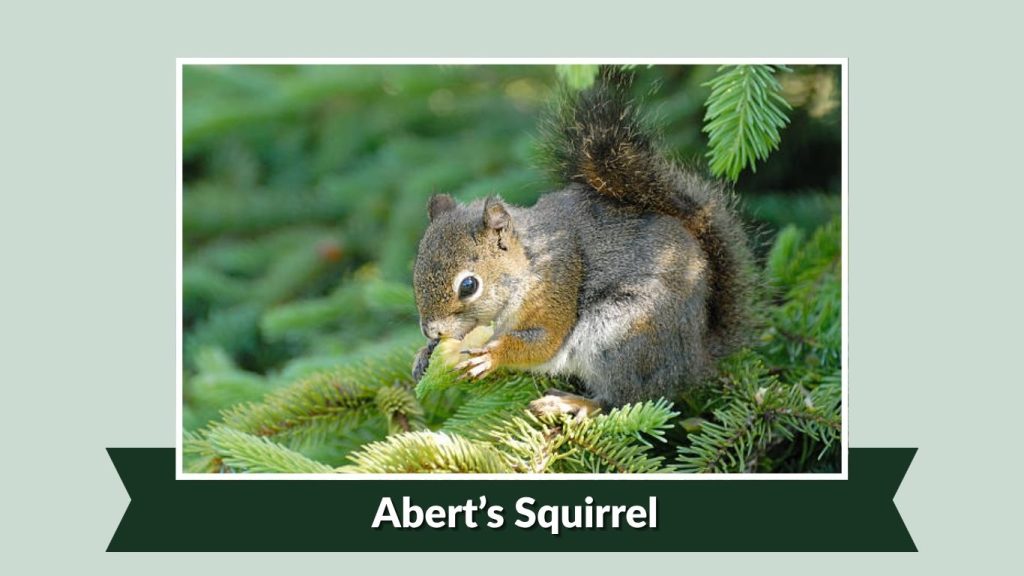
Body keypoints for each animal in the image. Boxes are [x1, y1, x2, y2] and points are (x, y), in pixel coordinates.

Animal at [411, 68, 755, 418]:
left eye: (468, 286)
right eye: (415, 272)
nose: (431, 331)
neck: (529, 261)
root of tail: (695, 360)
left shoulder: (556, 284)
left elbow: (545, 342)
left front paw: (491, 355)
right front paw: (424, 355)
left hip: (624, 335)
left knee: (625, 399)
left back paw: (574, 403)